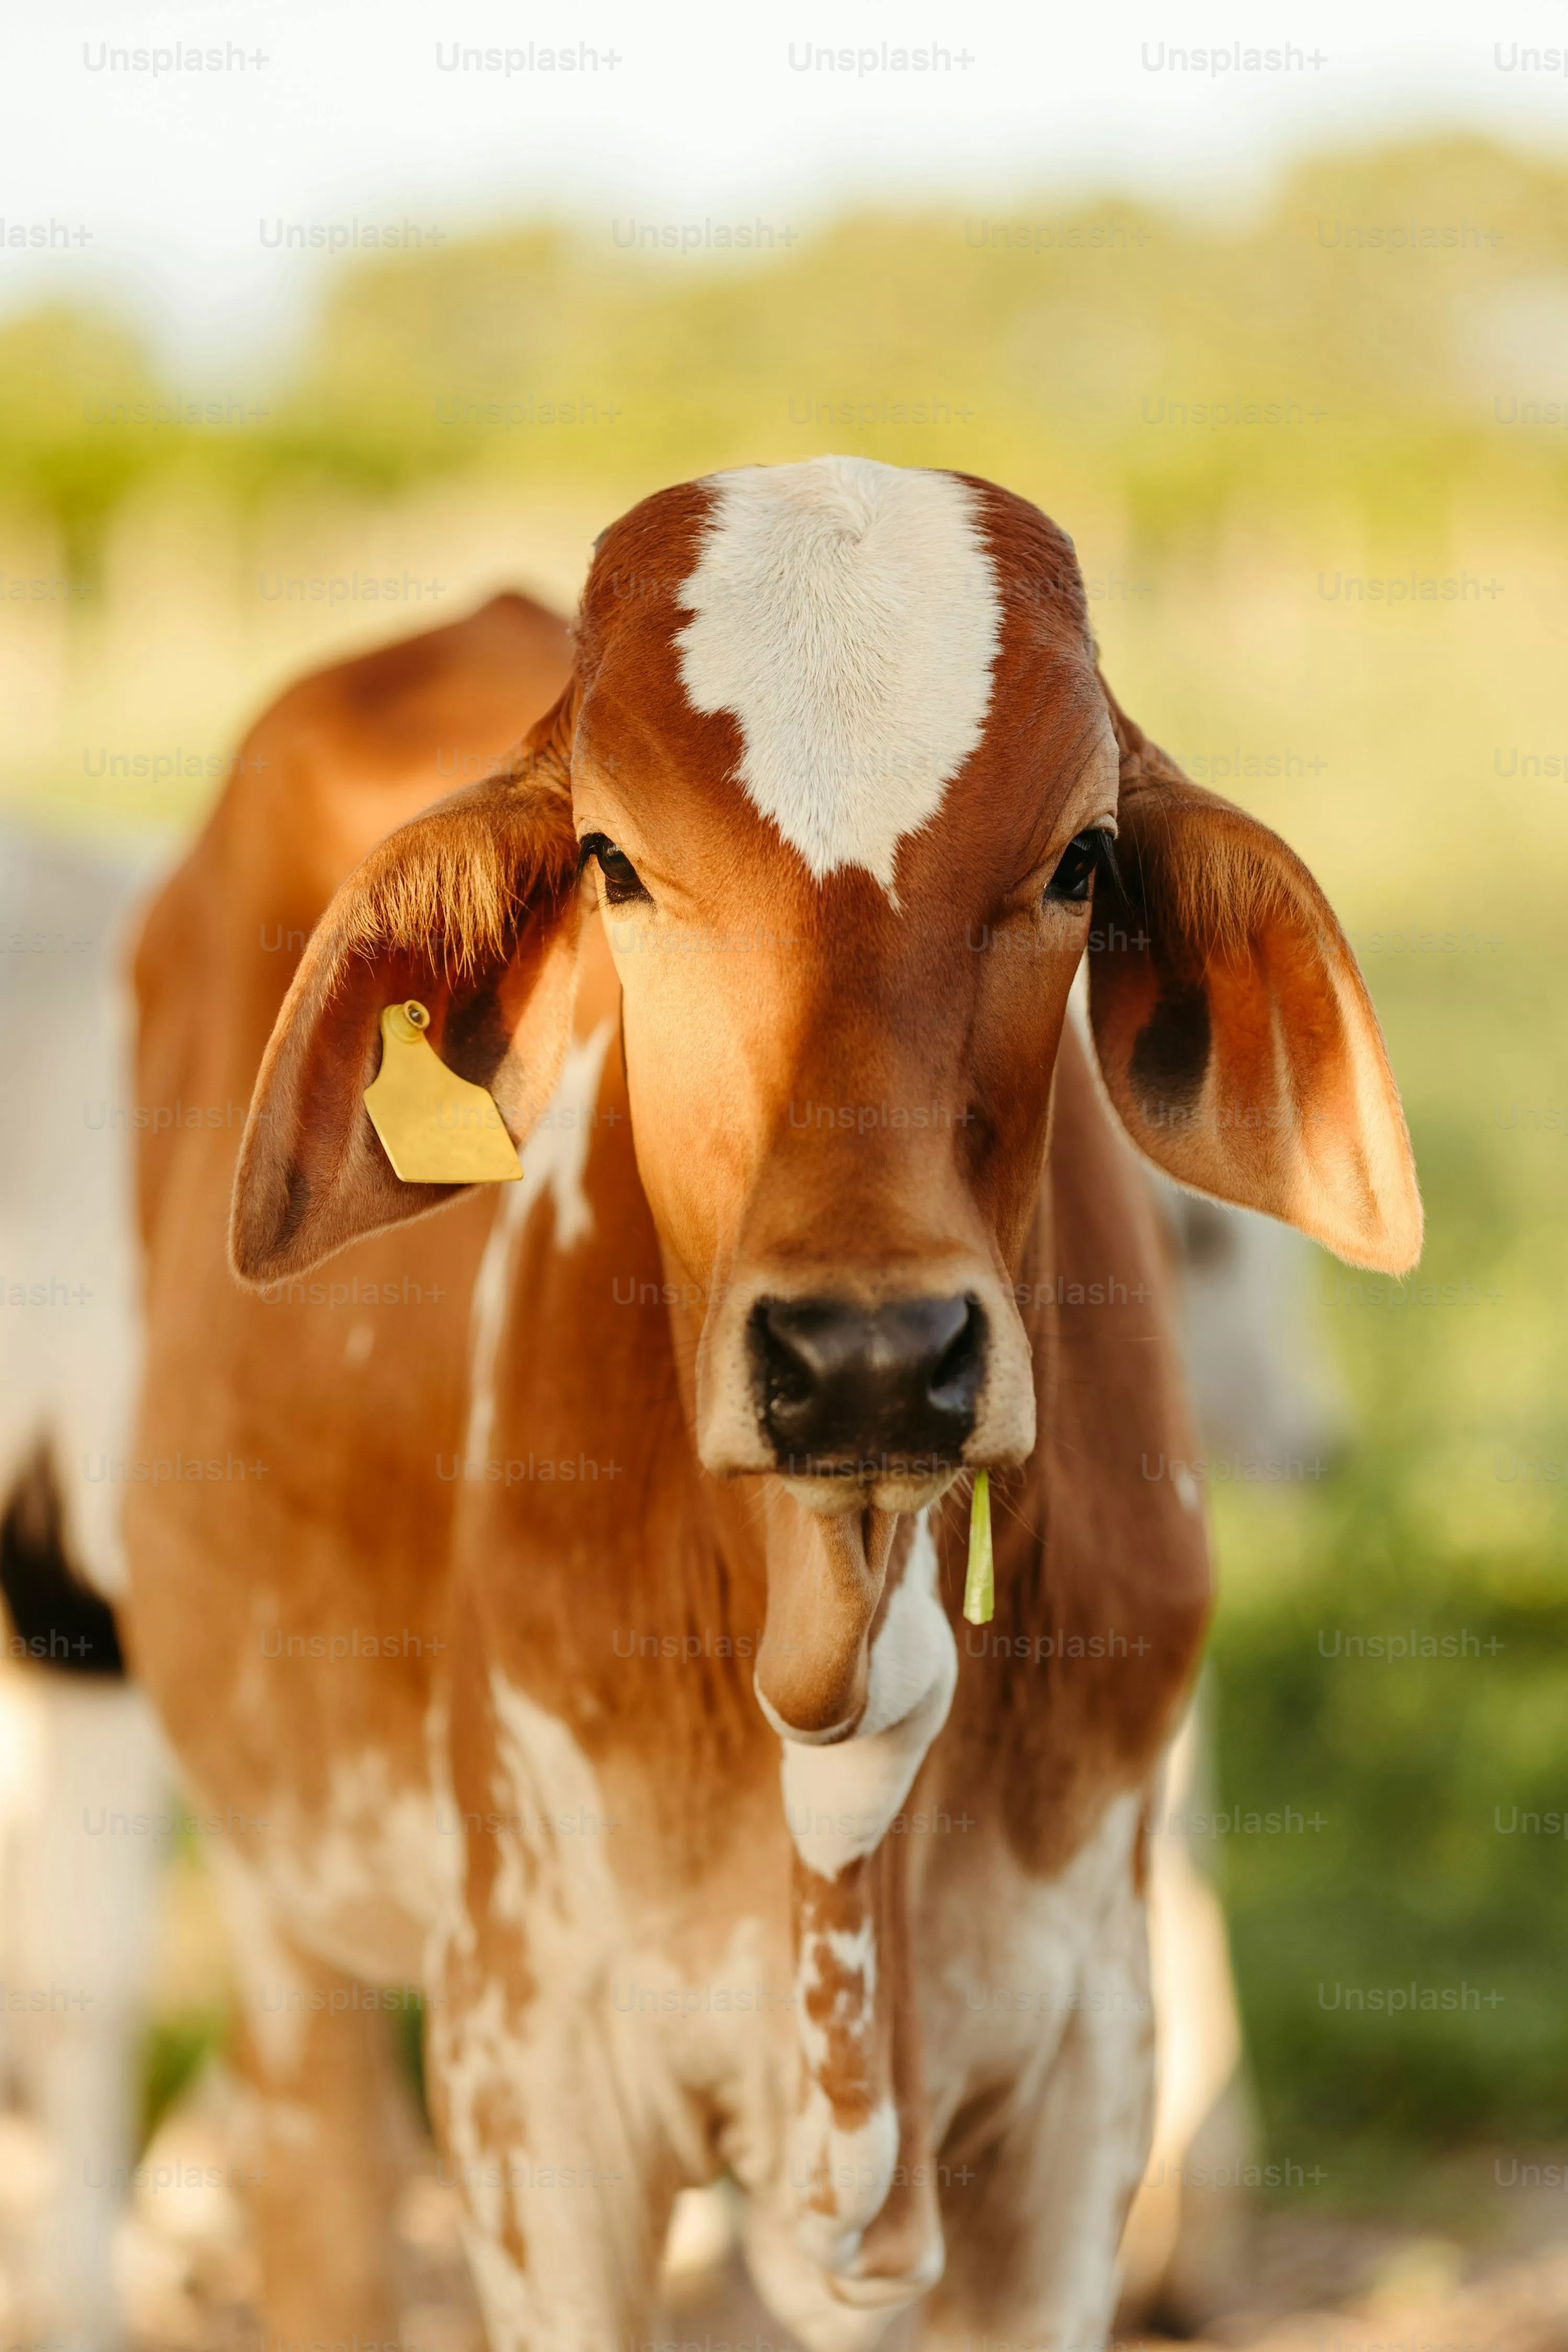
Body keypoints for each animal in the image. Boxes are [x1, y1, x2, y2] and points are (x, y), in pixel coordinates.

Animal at [127, 457, 1420, 2352]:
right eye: (614, 862)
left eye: (1078, 859)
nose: (869, 1356)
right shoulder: (534, 2083)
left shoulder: (1078, 2086)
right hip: (284, 1886)